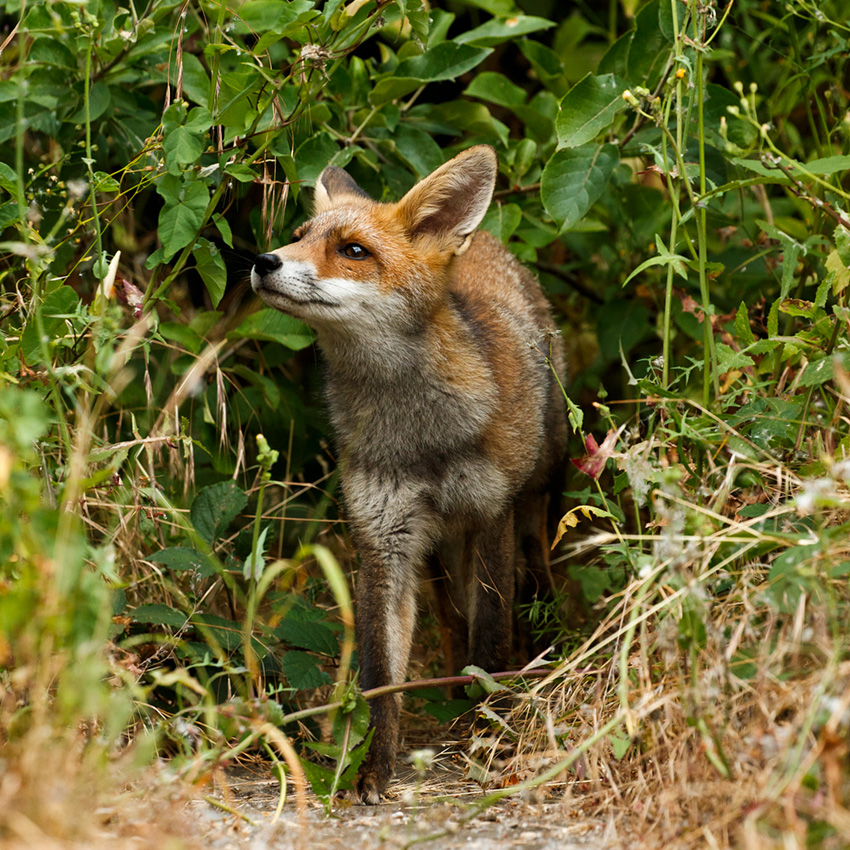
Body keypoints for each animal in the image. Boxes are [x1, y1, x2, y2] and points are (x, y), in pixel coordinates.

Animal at [251, 145, 567, 804]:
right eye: (300, 236)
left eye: (353, 250)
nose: (264, 261)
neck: (416, 435)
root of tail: (488, 240)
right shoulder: (384, 537)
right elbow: (380, 675)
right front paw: (375, 768)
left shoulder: (489, 515)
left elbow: (490, 636)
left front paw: (485, 728)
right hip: (435, 550)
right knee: (448, 618)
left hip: (533, 503)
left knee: (533, 581)